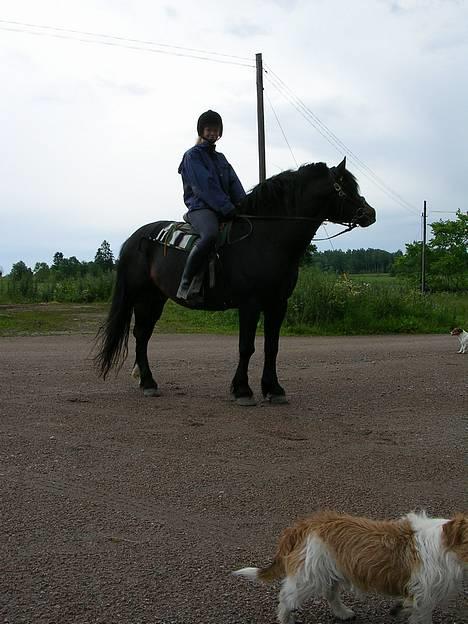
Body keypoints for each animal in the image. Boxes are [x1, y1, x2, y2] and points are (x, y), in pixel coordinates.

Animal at [95, 157, 376, 404]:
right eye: (344, 187)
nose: (370, 213)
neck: (267, 239)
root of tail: (135, 238)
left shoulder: (278, 304)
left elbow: (272, 347)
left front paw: (273, 389)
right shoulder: (250, 304)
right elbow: (246, 347)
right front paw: (242, 390)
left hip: (155, 298)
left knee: (143, 334)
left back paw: (147, 381)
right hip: (141, 295)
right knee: (141, 334)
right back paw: (148, 382)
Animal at [234, 512, 468, 624]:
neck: (447, 544)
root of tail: (308, 523)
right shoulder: (425, 598)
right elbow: (423, 618)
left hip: (330, 572)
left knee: (330, 595)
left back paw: (343, 613)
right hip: (308, 577)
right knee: (286, 598)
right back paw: (286, 619)